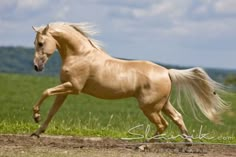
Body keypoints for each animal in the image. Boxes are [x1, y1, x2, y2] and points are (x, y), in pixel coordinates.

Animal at [31, 22, 229, 144]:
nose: (36, 67)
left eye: (40, 43)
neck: (80, 55)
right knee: (178, 118)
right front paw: (37, 131)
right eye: (35, 43)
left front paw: (35, 116)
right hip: (162, 104)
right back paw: (188, 143)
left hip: (150, 107)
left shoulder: (73, 87)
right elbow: (52, 111)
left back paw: (143, 145)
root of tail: (167, 72)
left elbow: (45, 91)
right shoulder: (65, 90)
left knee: (162, 125)